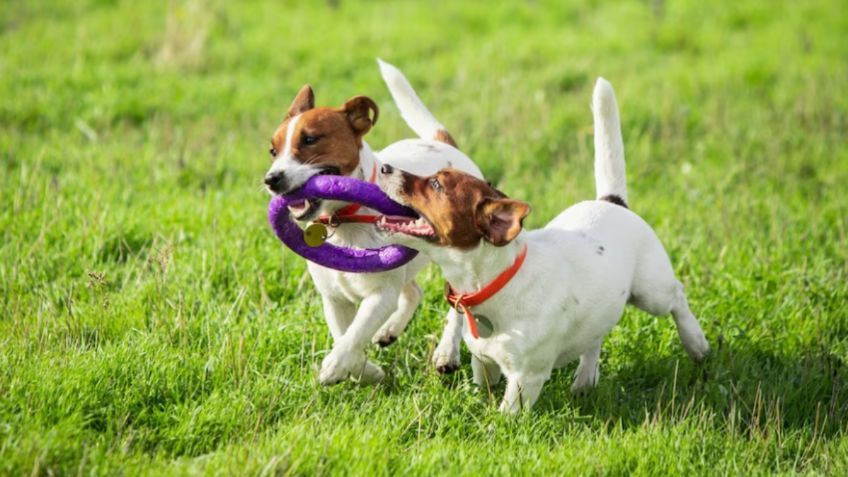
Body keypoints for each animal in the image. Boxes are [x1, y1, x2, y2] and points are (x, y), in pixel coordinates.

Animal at [262, 61, 480, 384]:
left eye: (310, 139)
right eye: (273, 151)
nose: (271, 179)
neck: (343, 220)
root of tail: (442, 144)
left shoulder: (380, 295)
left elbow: (354, 335)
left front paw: (335, 366)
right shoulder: (334, 299)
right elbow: (345, 335)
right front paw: (366, 371)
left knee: (457, 305)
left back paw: (446, 352)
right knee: (413, 292)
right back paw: (390, 331)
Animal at [374, 77, 712, 410]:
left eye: (436, 184)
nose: (384, 167)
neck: (495, 282)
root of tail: (612, 201)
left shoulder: (525, 379)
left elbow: (506, 414)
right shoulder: (484, 362)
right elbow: (485, 389)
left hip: (651, 291)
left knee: (677, 297)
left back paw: (696, 343)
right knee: (595, 337)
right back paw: (585, 380)